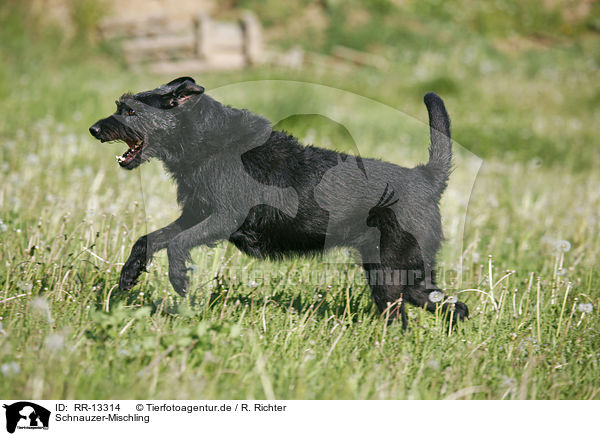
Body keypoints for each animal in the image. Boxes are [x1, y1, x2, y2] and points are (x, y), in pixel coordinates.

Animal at [89, 76, 468, 326]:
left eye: (130, 111)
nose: (93, 129)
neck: (207, 141)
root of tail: (427, 179)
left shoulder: (223, 218)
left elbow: (178, 244)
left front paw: (180, 280)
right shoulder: (196, 213)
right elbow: (151, 239)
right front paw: (129, 275)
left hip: (392, 270)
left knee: (403, 312)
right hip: (395, 271)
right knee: (442, 302)